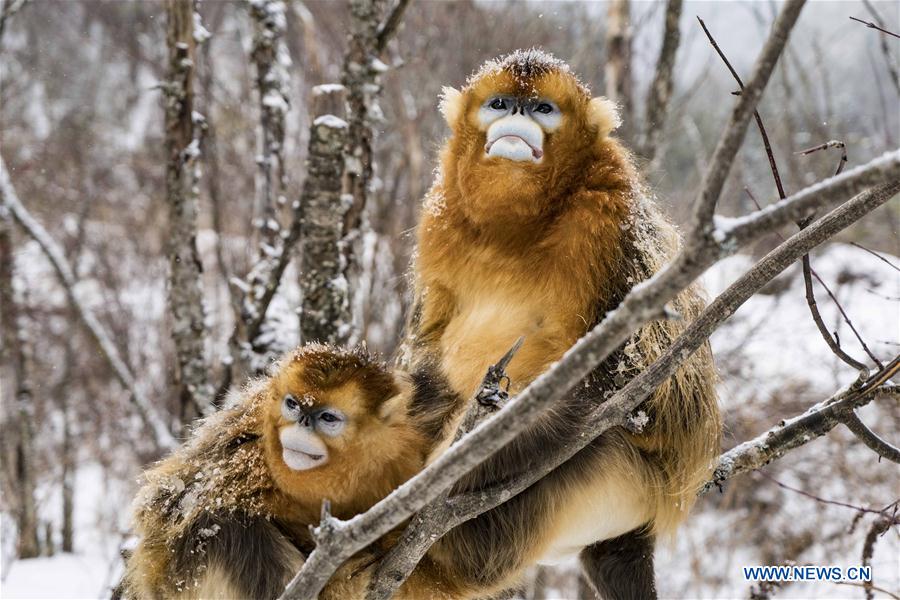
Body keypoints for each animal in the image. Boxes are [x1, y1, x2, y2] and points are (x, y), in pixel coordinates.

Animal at [121, 344, 442, 599]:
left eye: (327, 418)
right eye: (293, 405)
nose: (301, 424)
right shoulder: (255, 432)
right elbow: (173, 499)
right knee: (224, 522)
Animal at [388, 49, 721, 599]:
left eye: (542, 108)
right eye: (501, 103)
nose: (517, 118)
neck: (515, 231)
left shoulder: (609, 220)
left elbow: (648, 394)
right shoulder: (439, 218)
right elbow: (427, 353)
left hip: (617, 483)